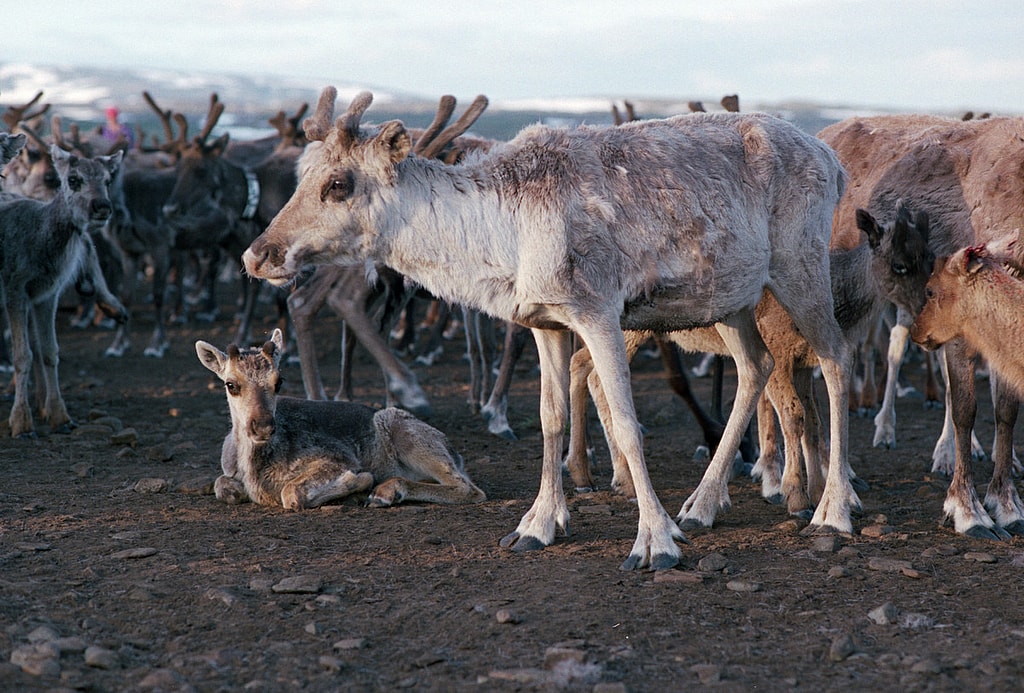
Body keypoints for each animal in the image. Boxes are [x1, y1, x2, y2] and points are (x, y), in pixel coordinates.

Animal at [198, 327, 487, 511]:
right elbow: (221, 485)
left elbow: (290, 493)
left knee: (469, 488)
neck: (253, 468)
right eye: (231, 384)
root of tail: (455, 452)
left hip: (406, 432)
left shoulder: (339, 457)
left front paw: (358, 481)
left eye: (279, 381)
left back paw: (384, 492)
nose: (263, 426)